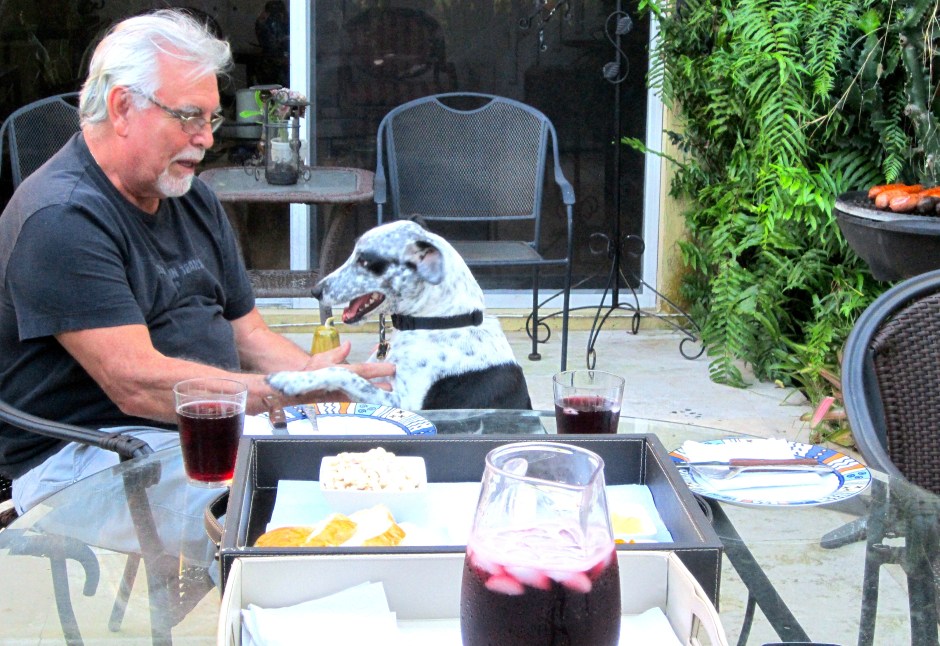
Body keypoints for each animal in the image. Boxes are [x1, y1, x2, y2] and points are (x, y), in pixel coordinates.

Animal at [266, 220, 533, 411]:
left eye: (364, 261)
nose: (315, 291)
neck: (439, 322)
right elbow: (341, 370)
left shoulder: (402, 402)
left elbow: (343, 373)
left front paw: (290, 380)